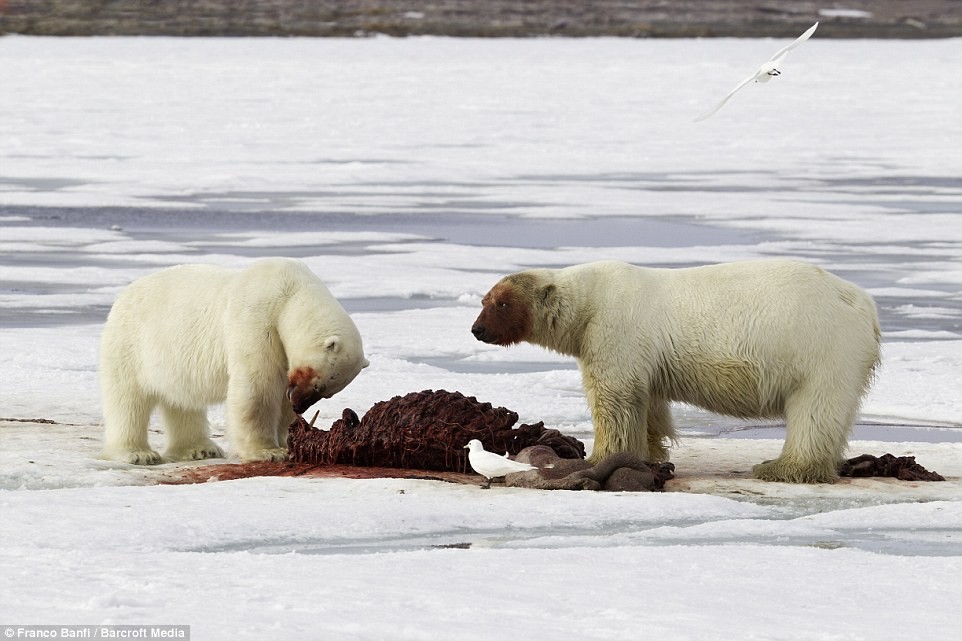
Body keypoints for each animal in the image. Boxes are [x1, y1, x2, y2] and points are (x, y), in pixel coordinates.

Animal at [98, 256, 368, 464]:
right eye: (318, 381)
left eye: (326, 394)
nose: (299, 406)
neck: (289, 293)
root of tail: (124, 294)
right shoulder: (257, 319)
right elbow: (258, 387)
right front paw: (268, 452)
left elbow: (280, 394)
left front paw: (285, 443)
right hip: (130, 342)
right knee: (128, 399)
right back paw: (137, 454)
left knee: (182, 400)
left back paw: (199, 449)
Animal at [468, 258, 880, 482]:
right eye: (485, 299)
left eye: (502, 304)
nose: (477, 330)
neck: (588, 303)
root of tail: (864, 304)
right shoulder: (642, 355)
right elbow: (647, 401)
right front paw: (650, 454)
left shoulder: (614, 330)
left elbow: (614, 397)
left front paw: (598, 458)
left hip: (819, 345)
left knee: (814, 409)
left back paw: (781, 467)